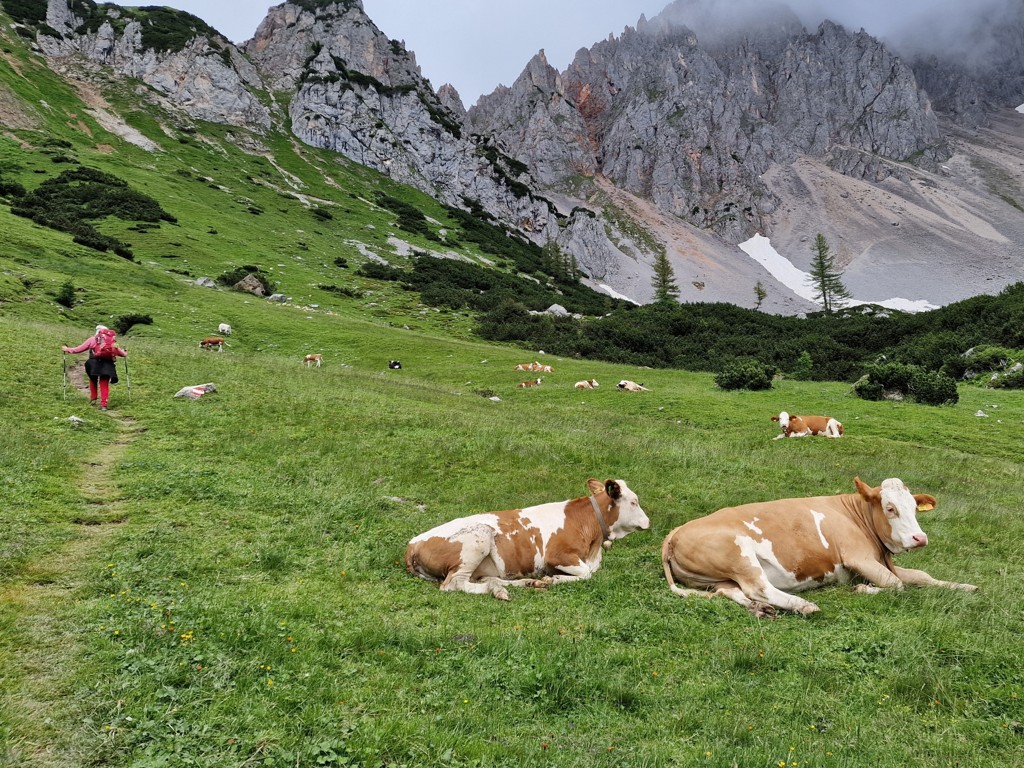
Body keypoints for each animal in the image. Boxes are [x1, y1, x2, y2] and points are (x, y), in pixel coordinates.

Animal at [405, 481, 647, 602]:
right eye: (634, 502)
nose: (648, 521)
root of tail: (412, 544)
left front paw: (547, 580)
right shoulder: (558, 555)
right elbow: (586, 574)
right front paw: (554, 579)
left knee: (489, 579)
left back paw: (526, 584)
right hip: (478, 540)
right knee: (455, 584)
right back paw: (500, 591)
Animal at [663, 475, 974, 618]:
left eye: (913, 507)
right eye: (890, 508)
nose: (920, 538)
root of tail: (675, 531)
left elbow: (921, 576)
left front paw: (966, 586)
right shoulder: (859, 558)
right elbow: (896, 585)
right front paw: (864, 590)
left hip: (719, 577)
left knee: (732, 591)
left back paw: (760, 610)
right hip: (740, 554)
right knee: (758, 587)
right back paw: (804, 605)